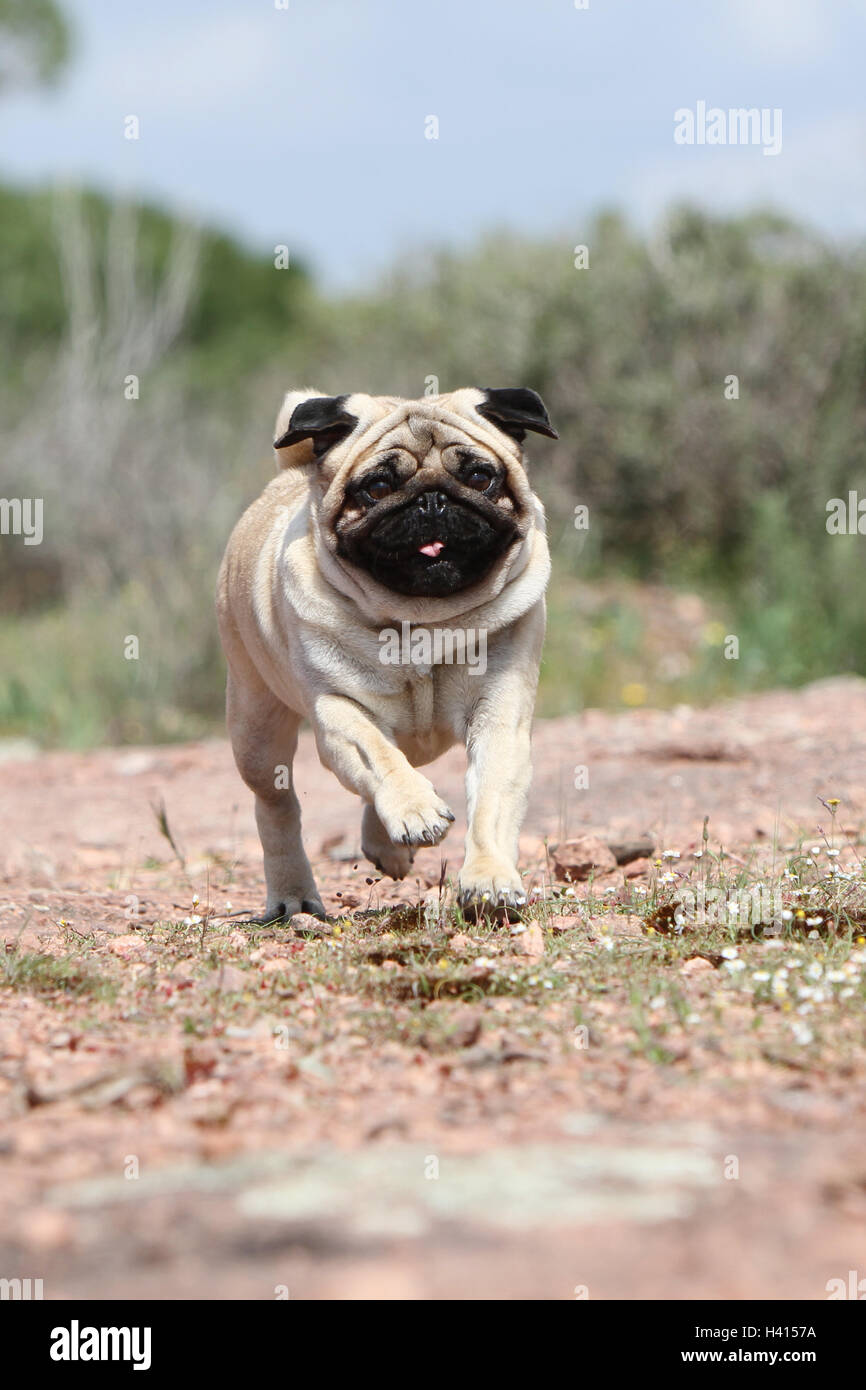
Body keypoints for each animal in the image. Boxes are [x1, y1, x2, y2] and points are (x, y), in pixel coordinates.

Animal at [216, 386, 556, 922]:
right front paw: (414, 810)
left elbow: (492, 803)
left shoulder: (500, 719)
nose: (432, 498)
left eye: (479, 477)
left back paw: (388, 846)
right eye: (376, 487)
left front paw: (490, 879)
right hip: (256, 727)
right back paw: (294, 895)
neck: (422, 621)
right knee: (277, 809)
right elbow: (379, 758)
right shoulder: (339, 712)